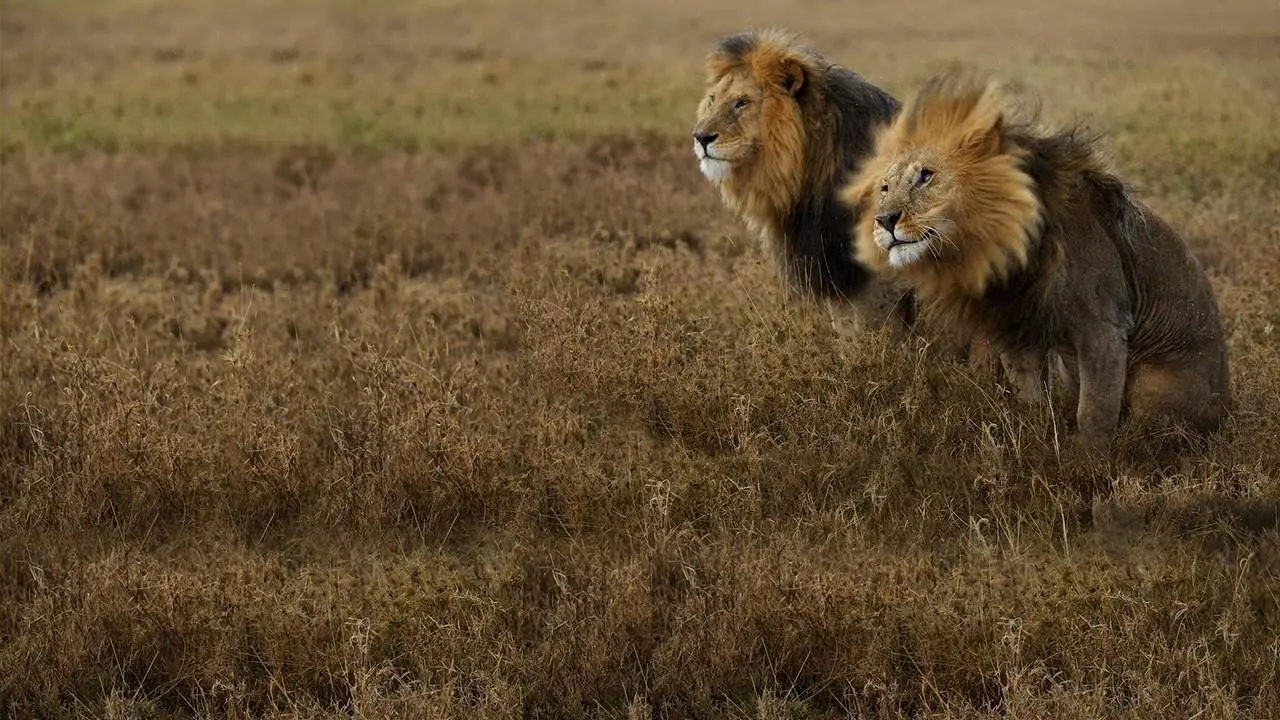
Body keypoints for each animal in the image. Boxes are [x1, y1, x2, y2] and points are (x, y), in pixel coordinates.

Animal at [839, 65, 1232, 449]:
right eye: (885, 188)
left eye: (926, 176)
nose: (884, 220)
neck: (1002, 248)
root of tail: (1227, 408)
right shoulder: (1017, 326)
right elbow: (1030, 396)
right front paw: (1037, 434)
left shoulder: (1104, 326)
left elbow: (1094, 410)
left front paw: (1086, 461)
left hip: (1157, 383)